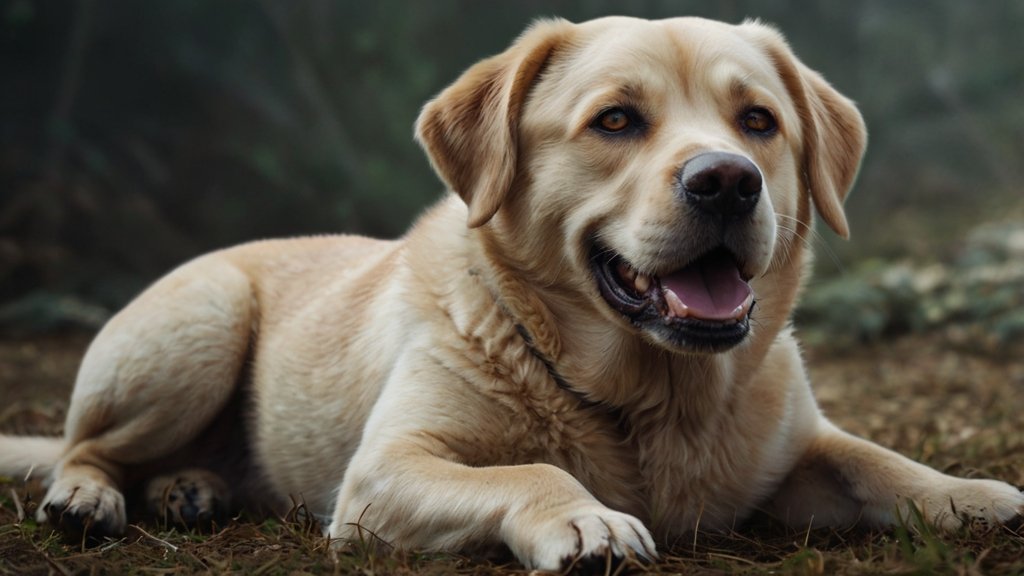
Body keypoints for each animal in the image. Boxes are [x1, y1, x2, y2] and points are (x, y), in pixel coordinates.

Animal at [2, 16, 1024, 569]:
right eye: (616, 120)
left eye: (759, 122)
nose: (729, 181)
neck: (651, 402)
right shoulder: (382, 475)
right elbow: (530, 470)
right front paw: (585, 518)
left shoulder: (799, 446)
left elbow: (880, 463)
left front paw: (975, 497)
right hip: (198, 324)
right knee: (81, 448)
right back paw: (90, 500)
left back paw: (190, 488)